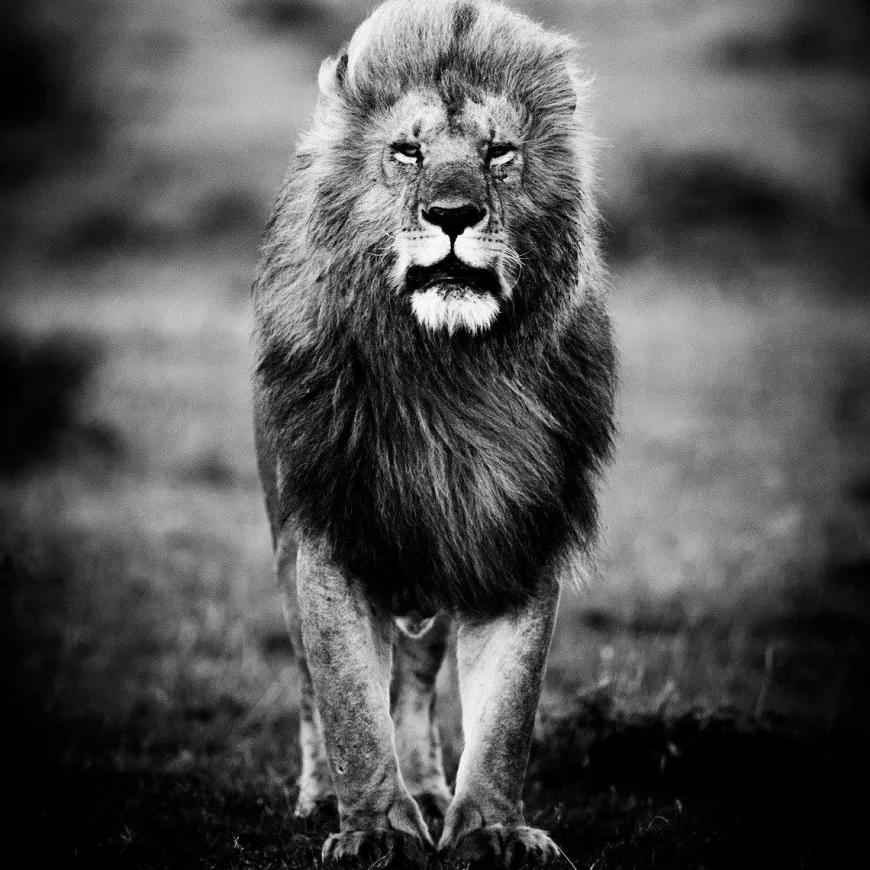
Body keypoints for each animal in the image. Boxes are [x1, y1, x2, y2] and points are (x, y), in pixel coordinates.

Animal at [251, 0, 616, 866]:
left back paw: (424, 788)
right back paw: (322, 798)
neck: (448, 373)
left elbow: (507, 709)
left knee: (416, 681)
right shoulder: (330, 529)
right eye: (407, 151)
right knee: (312, 683)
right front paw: (372, 831)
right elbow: (350, 702)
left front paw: (492, 827)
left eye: (498, 152)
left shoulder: (512, 523)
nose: (452, 216)